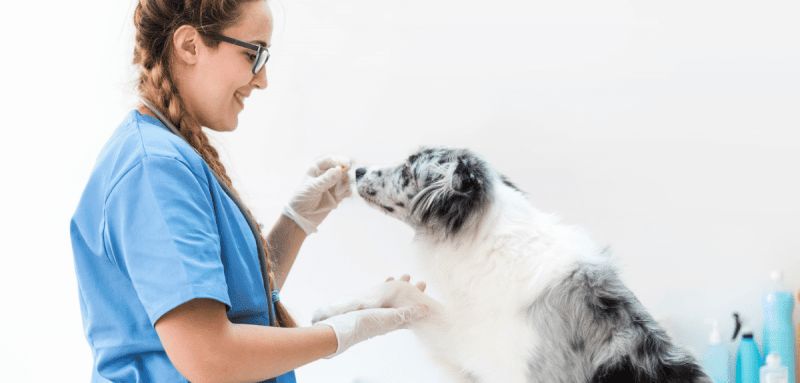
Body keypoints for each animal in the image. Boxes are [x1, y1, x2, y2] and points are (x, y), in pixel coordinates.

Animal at [312, 146, 712, 382]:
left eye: (409, 169)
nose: (358, 171)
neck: (486, 239)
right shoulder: (473, 341)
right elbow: (402, 291)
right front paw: (335, 311)